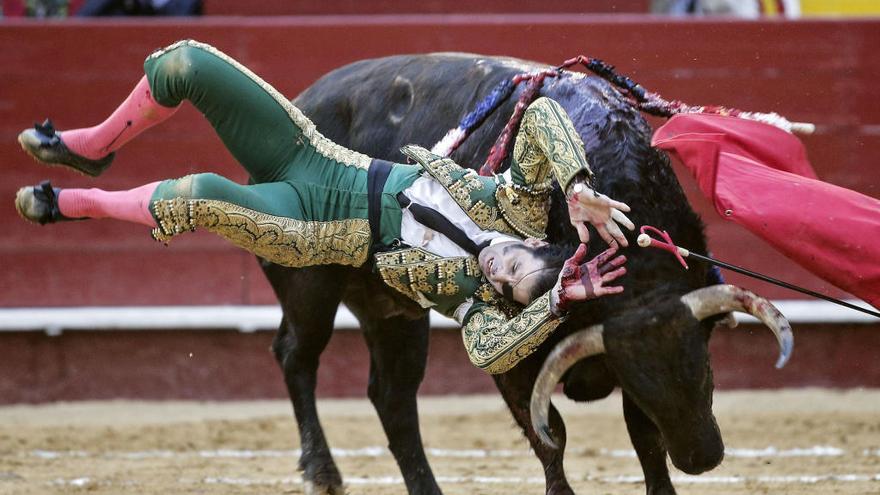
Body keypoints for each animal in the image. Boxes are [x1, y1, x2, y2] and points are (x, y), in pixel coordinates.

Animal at [264, 52, 796, 494]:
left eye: (706, 369)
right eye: (648, 384)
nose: (702, 458)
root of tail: (303, 100)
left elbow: (644, 438)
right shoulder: (514, 366)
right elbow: (550, 434)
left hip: (393, 314)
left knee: (392, 397)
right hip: (309, 285)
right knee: (296, 355)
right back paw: (321, 471)